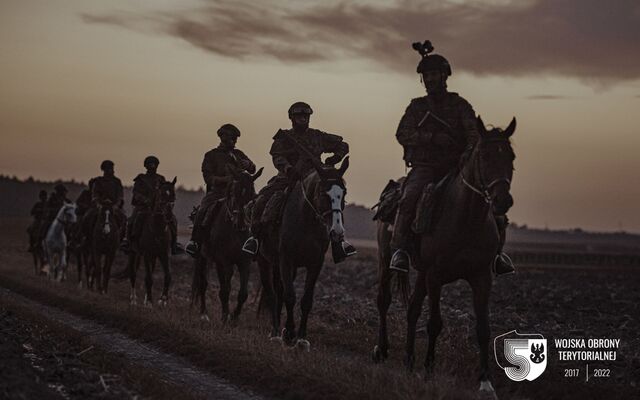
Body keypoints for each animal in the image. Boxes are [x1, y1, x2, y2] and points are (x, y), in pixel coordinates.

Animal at [129, 178, 176, 306]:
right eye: (162, 194)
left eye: (173, 195)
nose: (169, 215)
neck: (157, 229)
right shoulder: (147, 254)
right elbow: (148, 278)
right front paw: (150, 302)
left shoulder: (164, 254)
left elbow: (168, 275)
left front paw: (163, 299)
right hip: (135, 253)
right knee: (133, 273)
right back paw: (133, 298)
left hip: (154, 257)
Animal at [190, 168, 262, 322]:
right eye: (234, 192)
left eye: (252, 194)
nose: (240, 222)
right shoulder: (223, 261)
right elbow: (225, 290)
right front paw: (225, 316)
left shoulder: (244, 262)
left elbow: (243, 293)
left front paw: (234, 317)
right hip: (202, 258)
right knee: (203, 284)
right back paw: (204, 313)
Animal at [260, 158, 350, 348]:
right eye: (323, 193)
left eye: (343, 194)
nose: (337, 232)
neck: (306, 221)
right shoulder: (286, 260)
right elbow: (290, 296)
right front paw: (289, 334)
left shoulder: (315, 264)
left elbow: (306, 300)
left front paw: (301, 337)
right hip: (264, 261)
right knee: (272, 294)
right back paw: (275, 332)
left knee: (278, 291)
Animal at [390, 117, 516, 396]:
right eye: (484, 155)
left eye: (511, 156)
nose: (503, 201)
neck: (466, 219)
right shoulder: (436, 276)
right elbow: (435, 323)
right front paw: (428, 371)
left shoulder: (482, 277)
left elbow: (483, 329)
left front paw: (486, 383)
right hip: (408, 267)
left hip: (422, 275)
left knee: (413, 309)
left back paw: (408, 361)